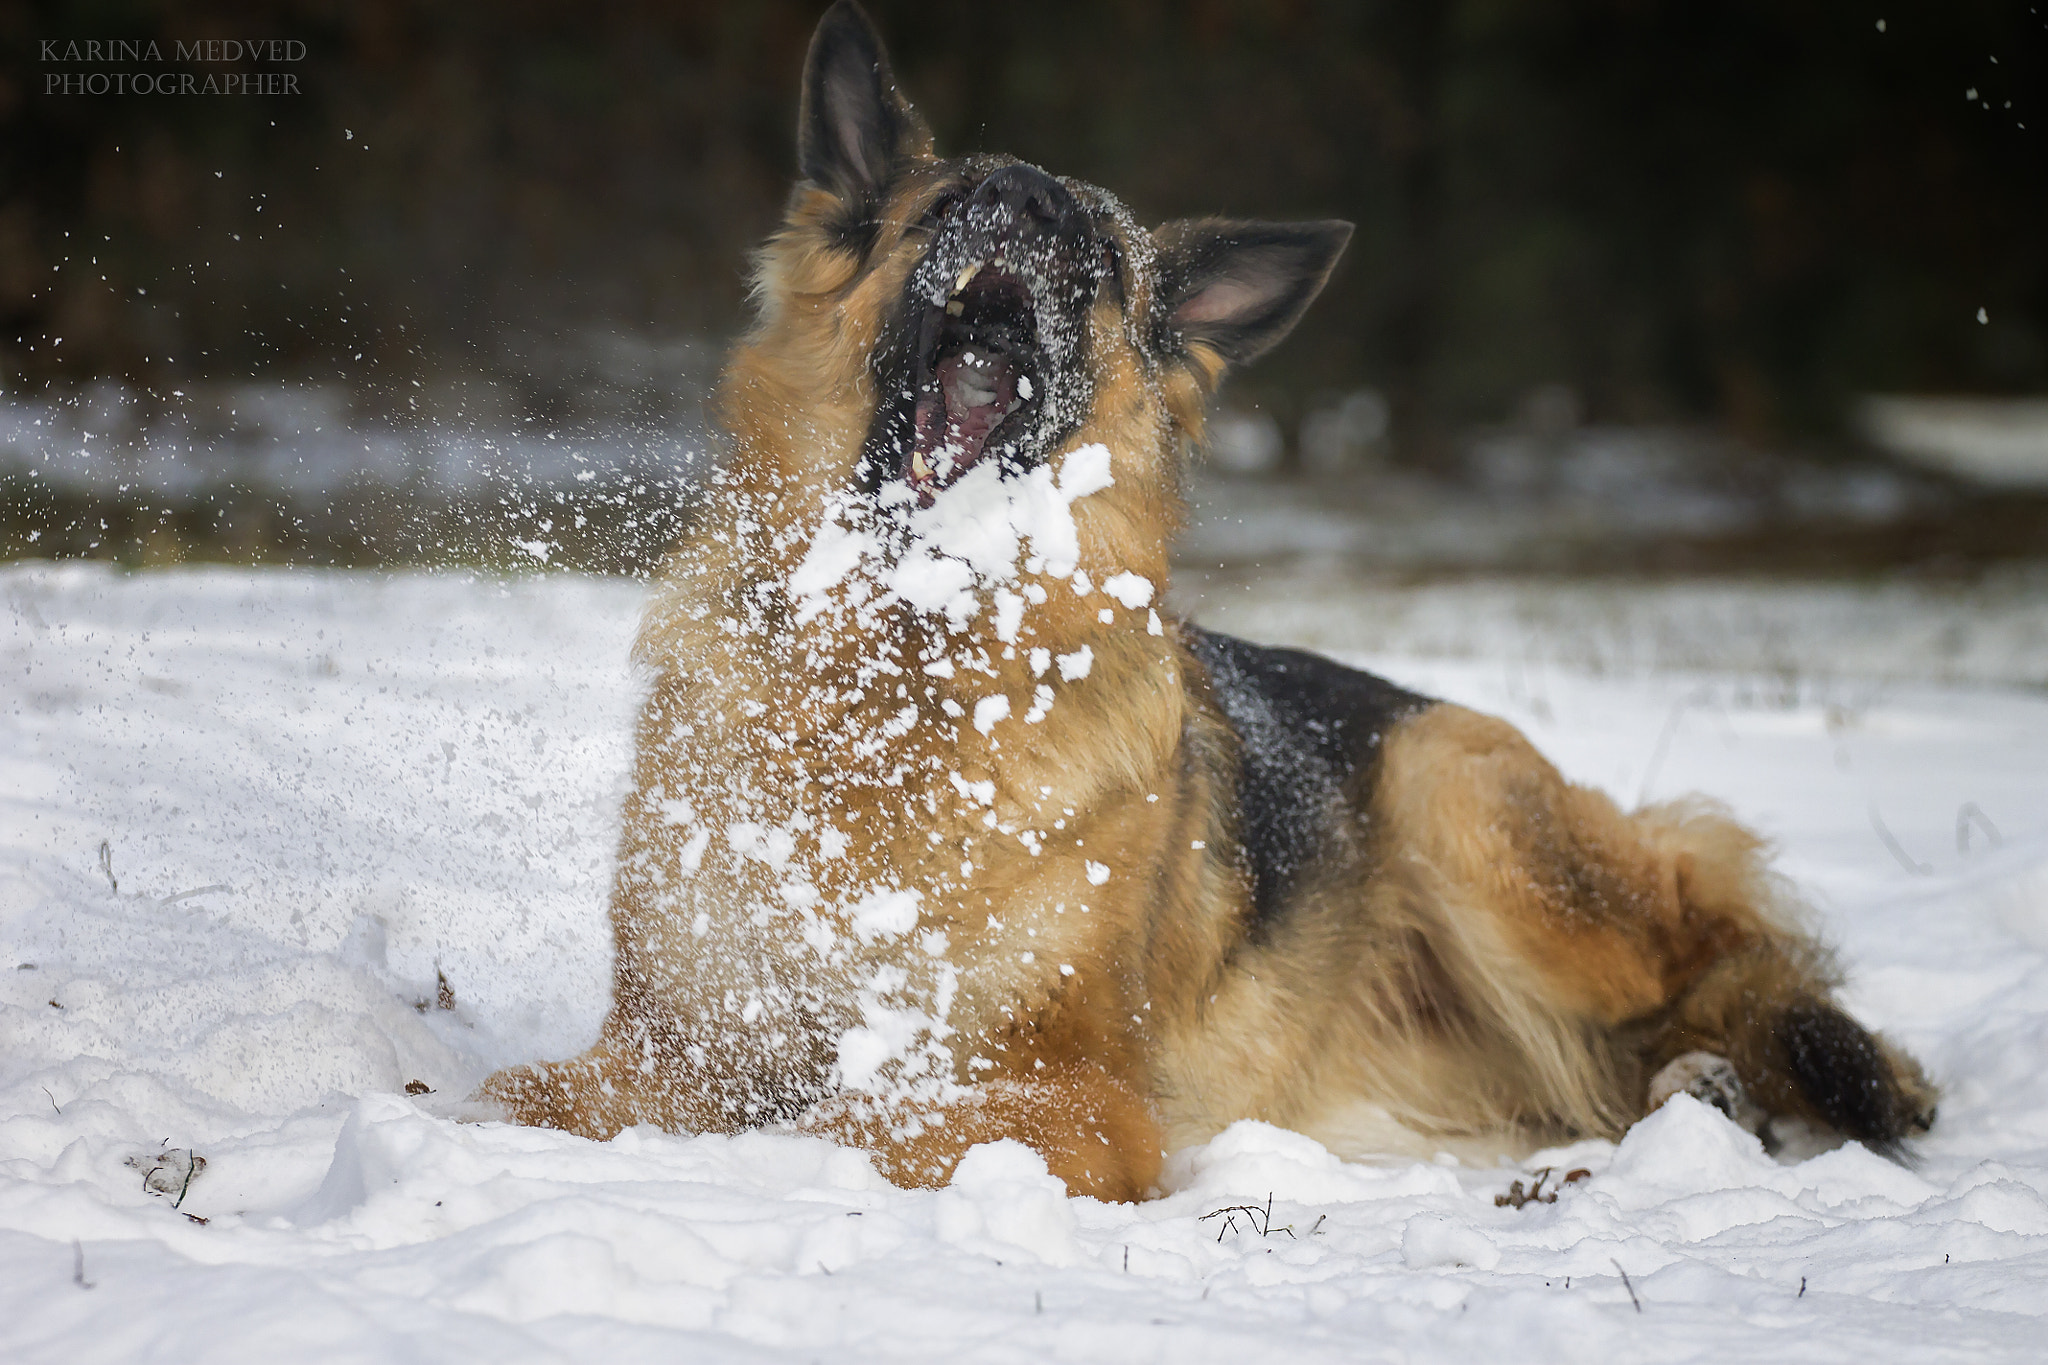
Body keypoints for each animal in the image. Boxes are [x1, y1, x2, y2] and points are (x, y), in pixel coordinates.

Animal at [471, 2, 1925, 1195]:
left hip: (1462, 801)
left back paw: (1748, 1085)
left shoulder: (1077, 1098)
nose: (1031, 203)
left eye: (1100, 263)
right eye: (952, 203)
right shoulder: (674, 1040)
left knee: (1727, 965)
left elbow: (855, 1124)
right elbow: (524, 1094)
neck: (897, 677)